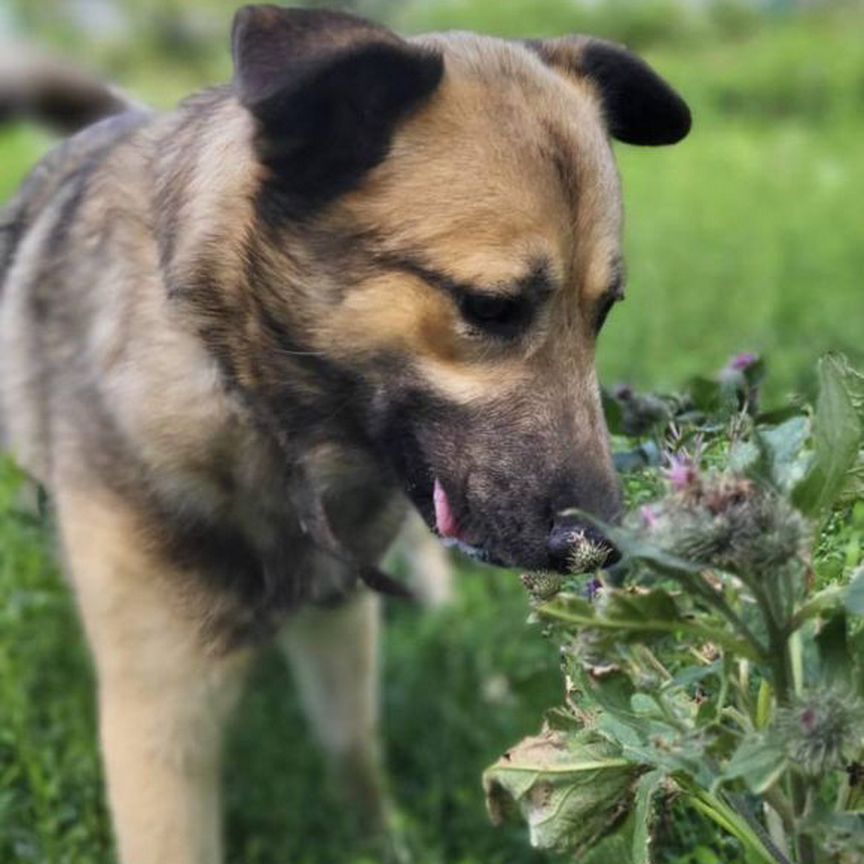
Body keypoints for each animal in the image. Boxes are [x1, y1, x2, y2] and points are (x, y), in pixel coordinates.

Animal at [0, 8, 688, 864]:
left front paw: (382, 839)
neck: (257, 403)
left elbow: (353, 752)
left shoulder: (340, 617)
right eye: (490, 307)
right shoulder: (159, 707)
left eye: (604, 311)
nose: (598, 550)